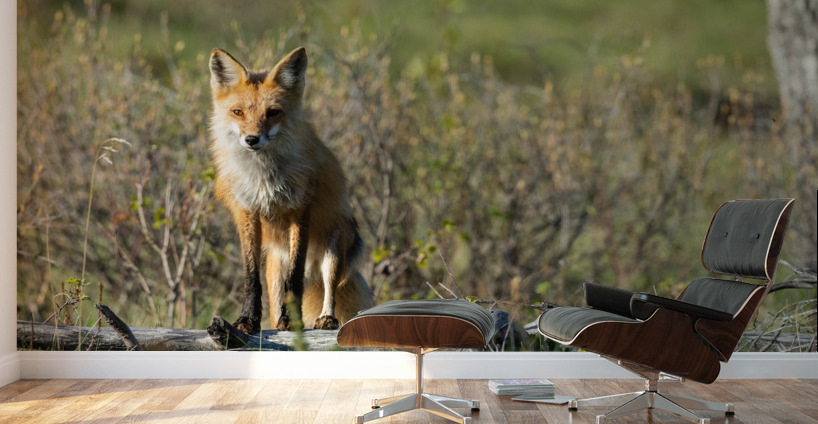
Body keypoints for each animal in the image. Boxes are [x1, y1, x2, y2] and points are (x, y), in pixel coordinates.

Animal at [208, 46, 373, 333]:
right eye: (238, 112)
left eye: (273, 112)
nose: (252, 139)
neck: (264, 178)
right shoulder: (247, 212)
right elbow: (250, 278)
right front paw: (247, 320)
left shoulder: (300, 209)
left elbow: (295, 278)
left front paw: (293, 321)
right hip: (274, 270)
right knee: (276, 300)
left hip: (333, 252)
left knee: (328, 287)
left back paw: (326, 318)